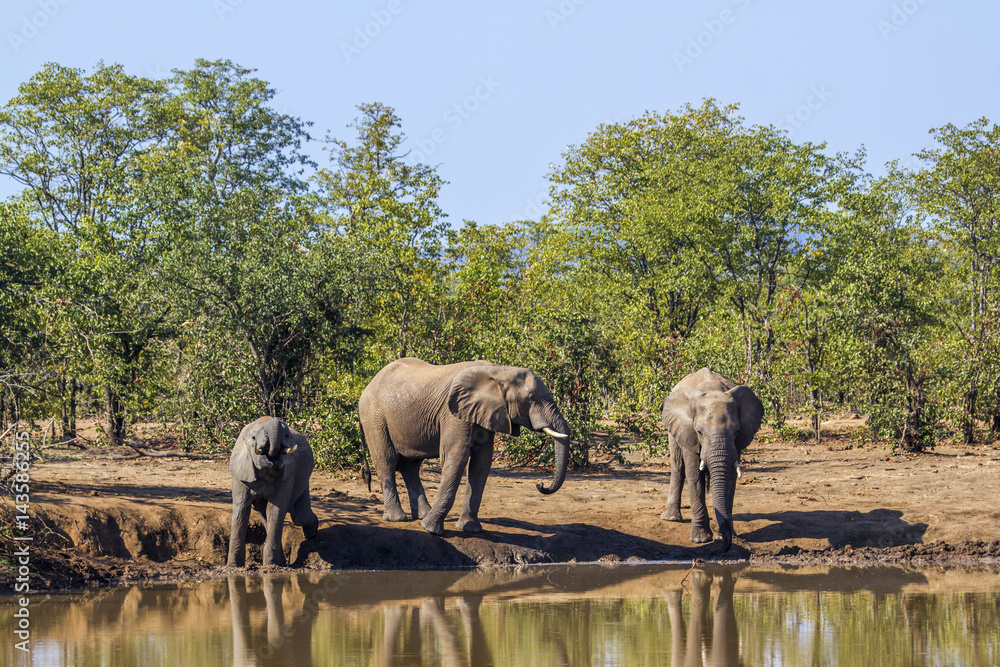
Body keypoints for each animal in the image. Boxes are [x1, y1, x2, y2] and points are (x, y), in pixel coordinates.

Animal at [228, 416, 319, 567]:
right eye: (253, 437)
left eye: (286, 436)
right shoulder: (242, 474)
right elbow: (241, 508)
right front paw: (233, 566)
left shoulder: (288, 475)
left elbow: (276, 509)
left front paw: (271, 565)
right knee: (264, 511)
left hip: (304, 480)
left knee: (298, 515)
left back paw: (312, 533)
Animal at [358, 357, 572, 536]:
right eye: (531, 398)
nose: (540, 485)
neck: (499, 370)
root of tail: (366, 386)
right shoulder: (453, 414)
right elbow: (456, 457)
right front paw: (431, 530)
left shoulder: (485, 413)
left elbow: (481, 464)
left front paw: (470, 529)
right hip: (373, 415)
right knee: (386, 461)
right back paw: (398, 518)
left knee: (411, 466)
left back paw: (423, 514)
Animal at [661, 368, 764, 552]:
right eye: (699, 432)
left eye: (737, 431)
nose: (724, 549)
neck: (713, 390)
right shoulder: (689, 433)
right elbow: (694, 475)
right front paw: (700, 539)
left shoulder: (736, 443)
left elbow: (730, 477)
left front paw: (723, 535)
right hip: (673, 427)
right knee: (678, 467)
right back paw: (671, 518)